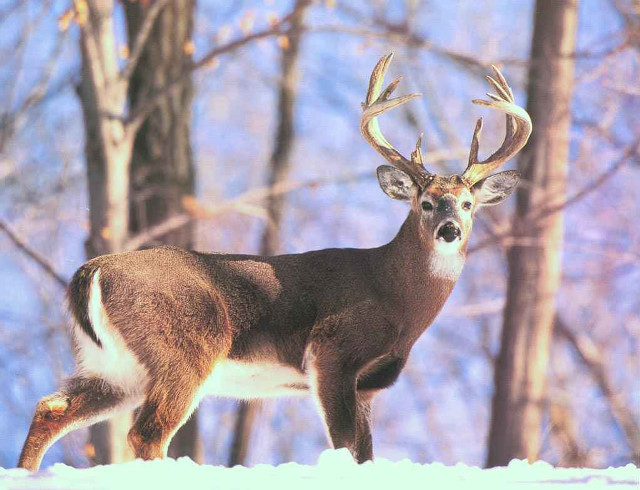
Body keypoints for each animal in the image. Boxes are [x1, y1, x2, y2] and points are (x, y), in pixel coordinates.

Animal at [18, 53, 531, 470]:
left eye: (467, 204)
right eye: (425, 203)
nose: (450, 230)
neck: (395, 299)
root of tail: (90, 272)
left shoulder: (367, 385)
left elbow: (366, 453)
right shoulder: (332, 353)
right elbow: (346, 448)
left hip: (114, 366)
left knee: (50, 408)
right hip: (183, 349)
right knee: (147, 434)